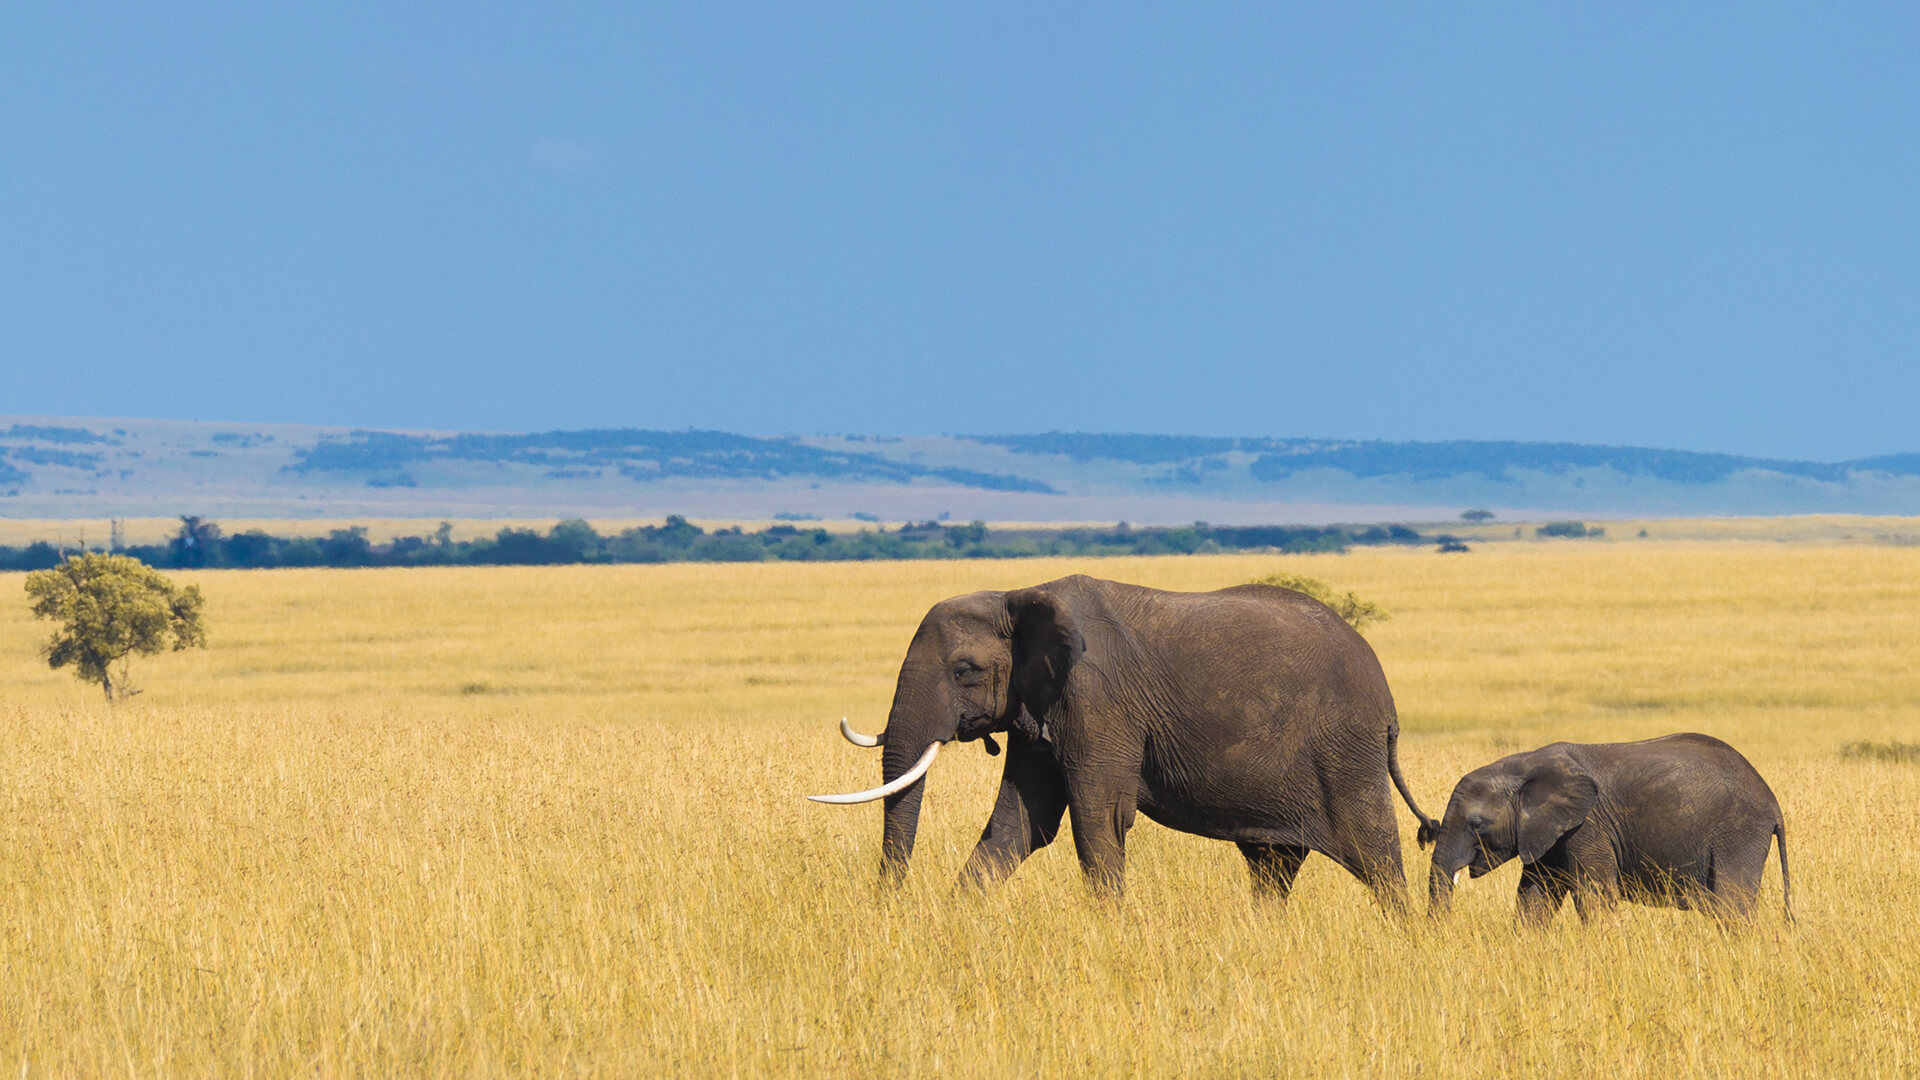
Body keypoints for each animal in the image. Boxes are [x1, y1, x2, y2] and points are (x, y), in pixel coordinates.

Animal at [810, 572, 1443, 907]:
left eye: (964, 670)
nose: (891, 908)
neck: (1019, 595)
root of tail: (1386, 699)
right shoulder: (1041, 709)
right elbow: (1020, 823)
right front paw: (956, 916)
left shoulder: (1098, 704)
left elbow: (1098, 818)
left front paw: (1110, 928)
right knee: (1273, 865)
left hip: (1345, 752)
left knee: (1376, 855)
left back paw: (1406, 936)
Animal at [1428, 730, 1781, 926]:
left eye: (1477, 824)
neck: (1524, 765)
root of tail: (1772, 801)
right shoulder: (1547, 833)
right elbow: (1535, 896)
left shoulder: (1587, 828)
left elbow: (1594, 895)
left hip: (1738, 834)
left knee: (1732, 904)